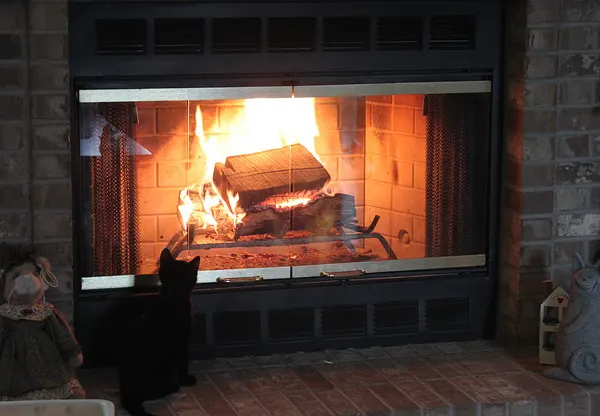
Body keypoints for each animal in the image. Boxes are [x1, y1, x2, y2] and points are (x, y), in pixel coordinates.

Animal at [118, 249, 200, 414]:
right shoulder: (183, 340)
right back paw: (174, 385)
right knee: (155, 392)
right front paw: (186, 379)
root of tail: (127, 394)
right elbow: (184, 361)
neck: (174, 298)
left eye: (186, 276)